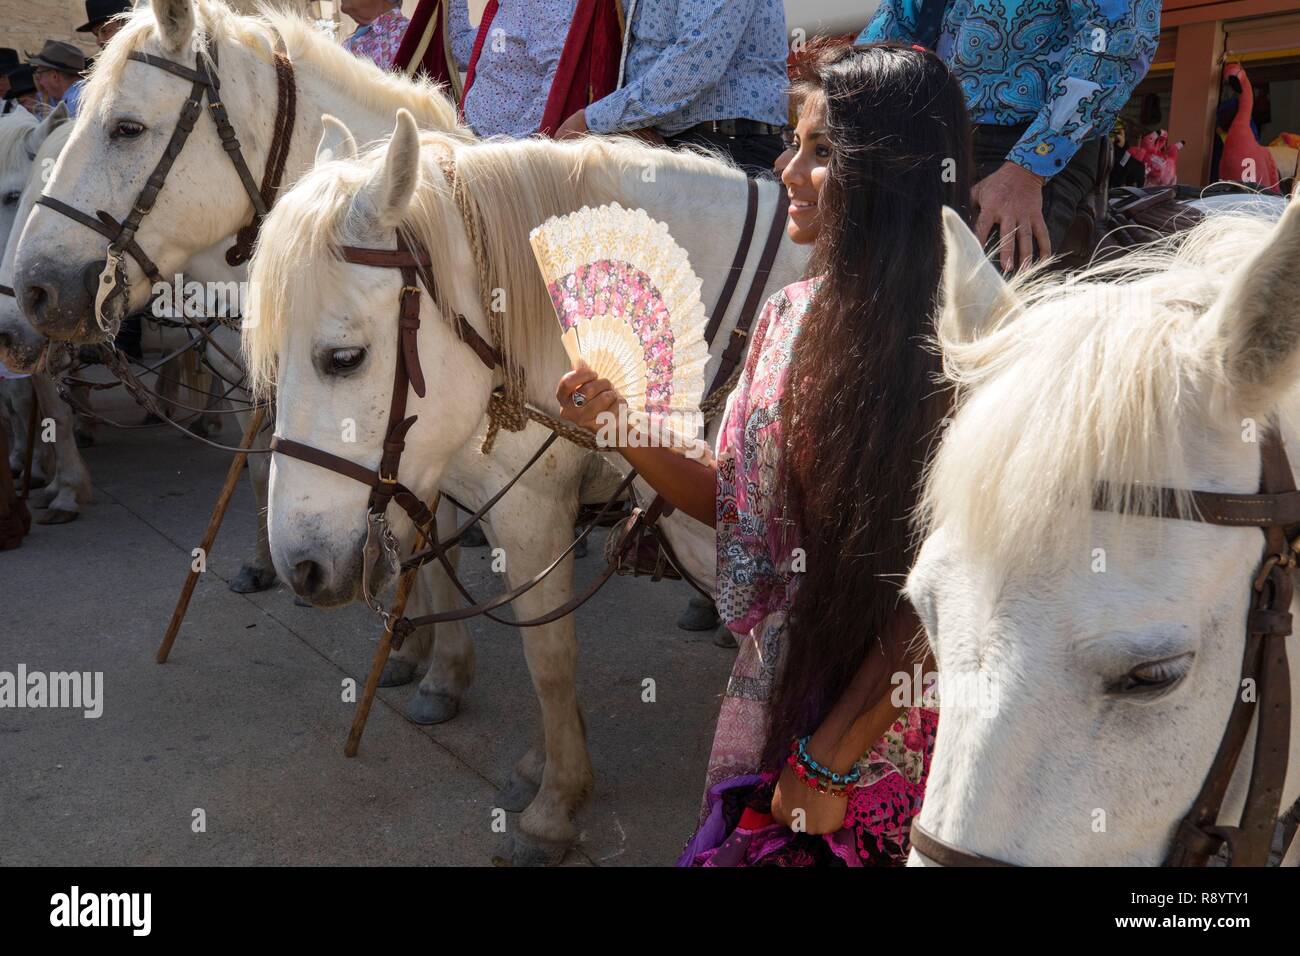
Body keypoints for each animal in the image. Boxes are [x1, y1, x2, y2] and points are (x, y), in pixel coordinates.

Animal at [241, 113, 800, 868]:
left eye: (344, 359)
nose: (298, 568)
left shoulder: (532, 510)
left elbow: (549, 654)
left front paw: (555, 807)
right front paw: (544, 763)